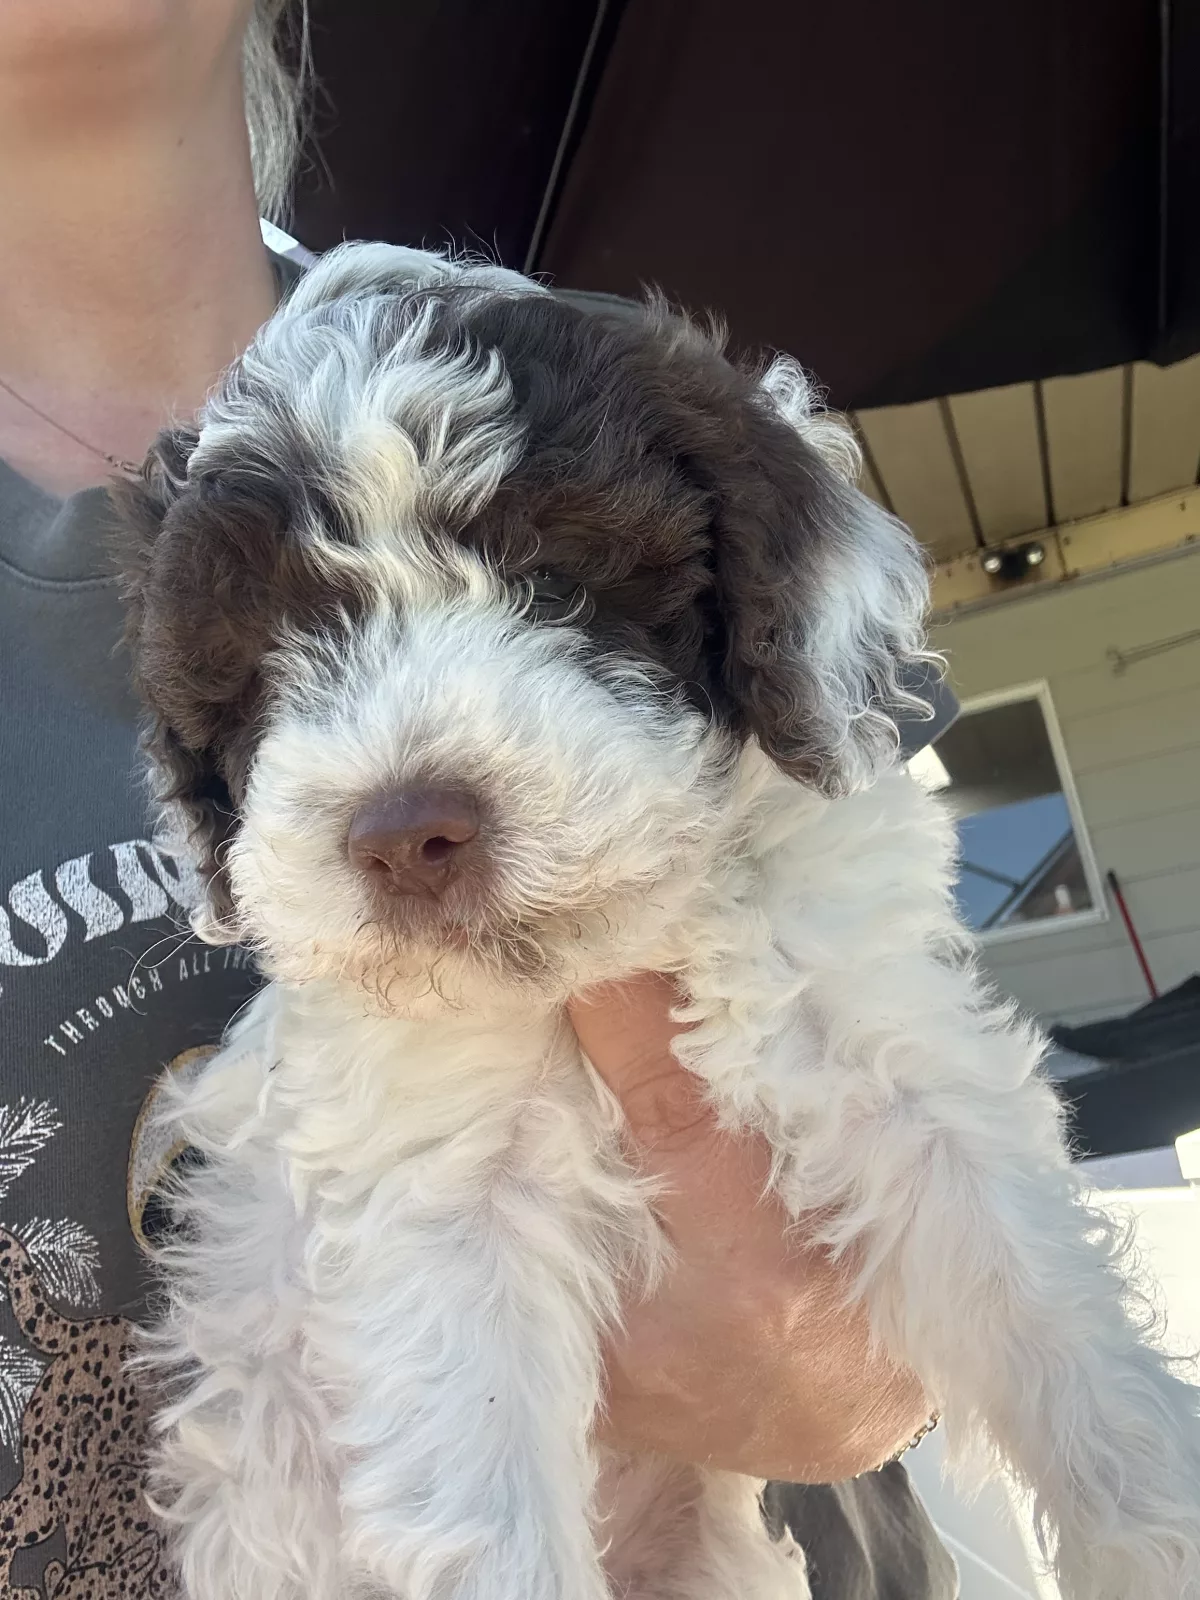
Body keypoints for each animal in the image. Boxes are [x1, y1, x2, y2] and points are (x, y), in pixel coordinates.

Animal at [115, 243, 1200, 1600]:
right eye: (267, 661)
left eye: (555, 581)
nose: (404, 830)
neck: (622, 940)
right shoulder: (444, 1215)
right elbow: (491, 1503)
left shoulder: (896, 1059)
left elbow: (1044, 1307)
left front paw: (1156, 1533)